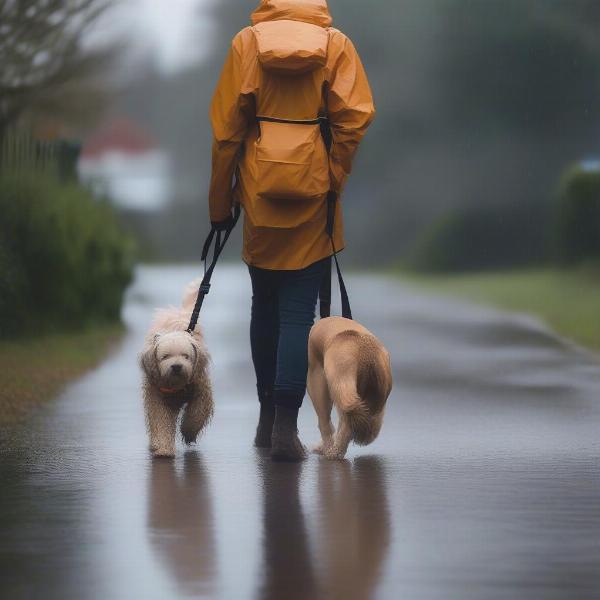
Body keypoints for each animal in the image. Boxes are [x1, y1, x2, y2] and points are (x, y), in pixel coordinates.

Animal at [139, 278, 214, 458]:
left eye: (186, 356)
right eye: (165, 356)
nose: (177, 367)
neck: (177, 386)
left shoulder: (201, 391)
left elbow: (197, 413)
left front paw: (188, 432)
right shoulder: (157, 396)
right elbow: (160, 419)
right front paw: (163, 448)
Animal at [308, 316, 392, 462]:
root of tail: (367, 357)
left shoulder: (317, 381)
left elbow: (325, 422)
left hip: (337, 385)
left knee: (337, 422)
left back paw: (333, 451)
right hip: (373, 395)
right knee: (365, 421)